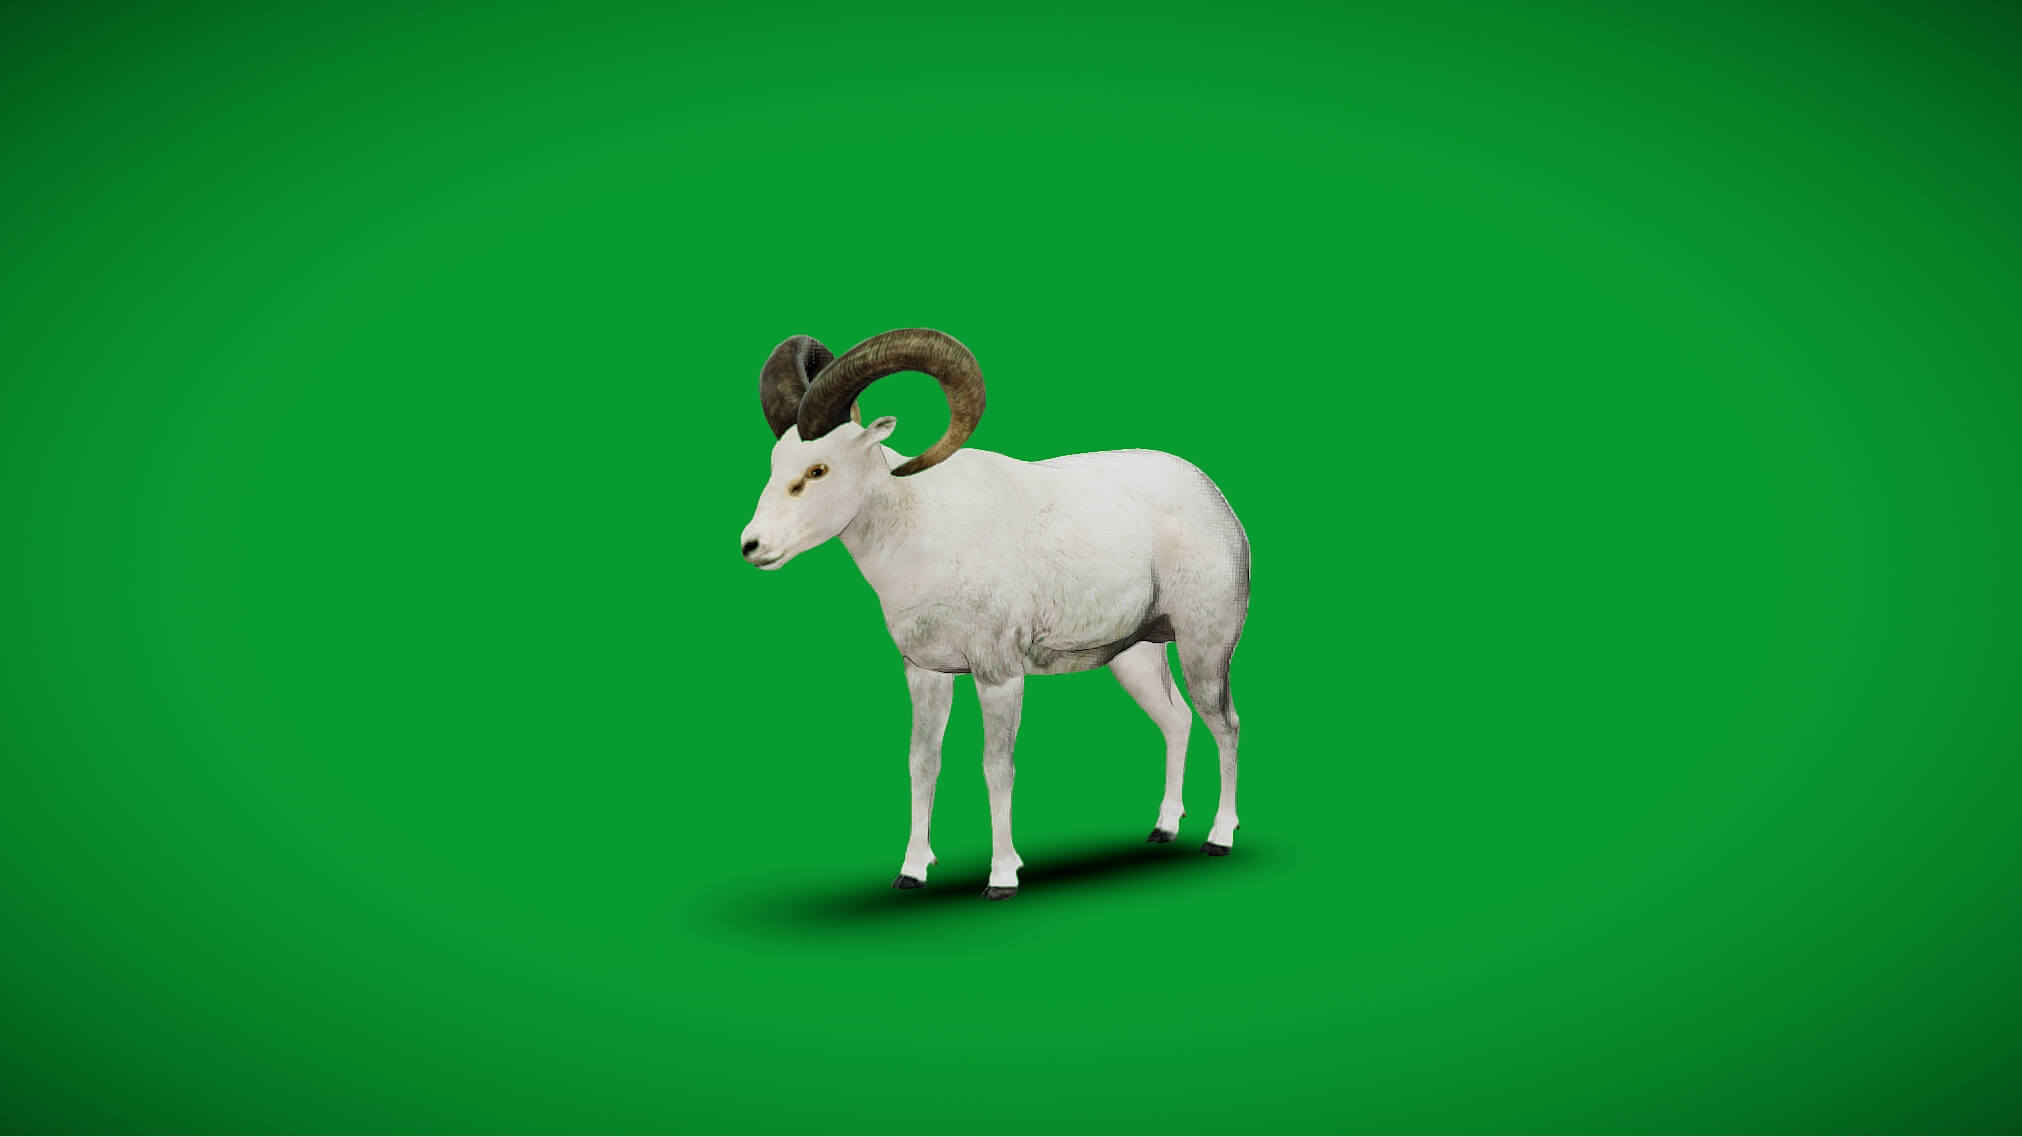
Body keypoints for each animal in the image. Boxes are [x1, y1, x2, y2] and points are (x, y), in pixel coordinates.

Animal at [738, 328, 1250, 899]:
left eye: (817, 469)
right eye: (775, 466)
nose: (753, 546)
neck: (922, 535)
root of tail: (1214, 499)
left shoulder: (998, 676)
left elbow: (996, 768)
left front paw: (1002, 878)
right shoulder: (927, 674)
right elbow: (923, 763)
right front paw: (911, 872)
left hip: (1205, 650)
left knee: (1225, 725)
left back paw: (1218, 839)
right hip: (1136, 659)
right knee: (1177, 721)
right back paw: (1163, 829)